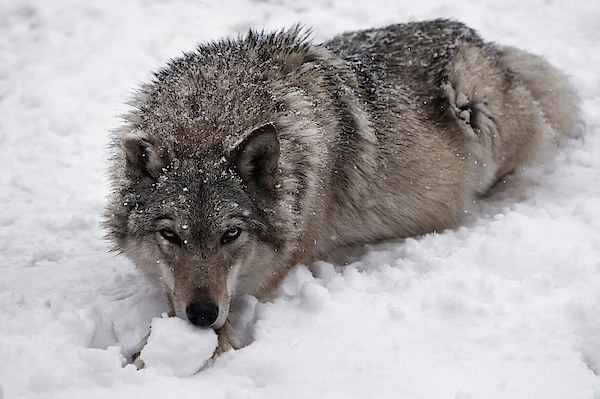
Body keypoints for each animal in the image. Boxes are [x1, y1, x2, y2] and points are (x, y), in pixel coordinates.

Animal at [103, 19, 580, 368]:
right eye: (171, 235)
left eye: (231, 234)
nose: (201, 314)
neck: (212, 118)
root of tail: (479, 38)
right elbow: (171, 299)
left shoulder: (272, 269)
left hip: (477, 106)